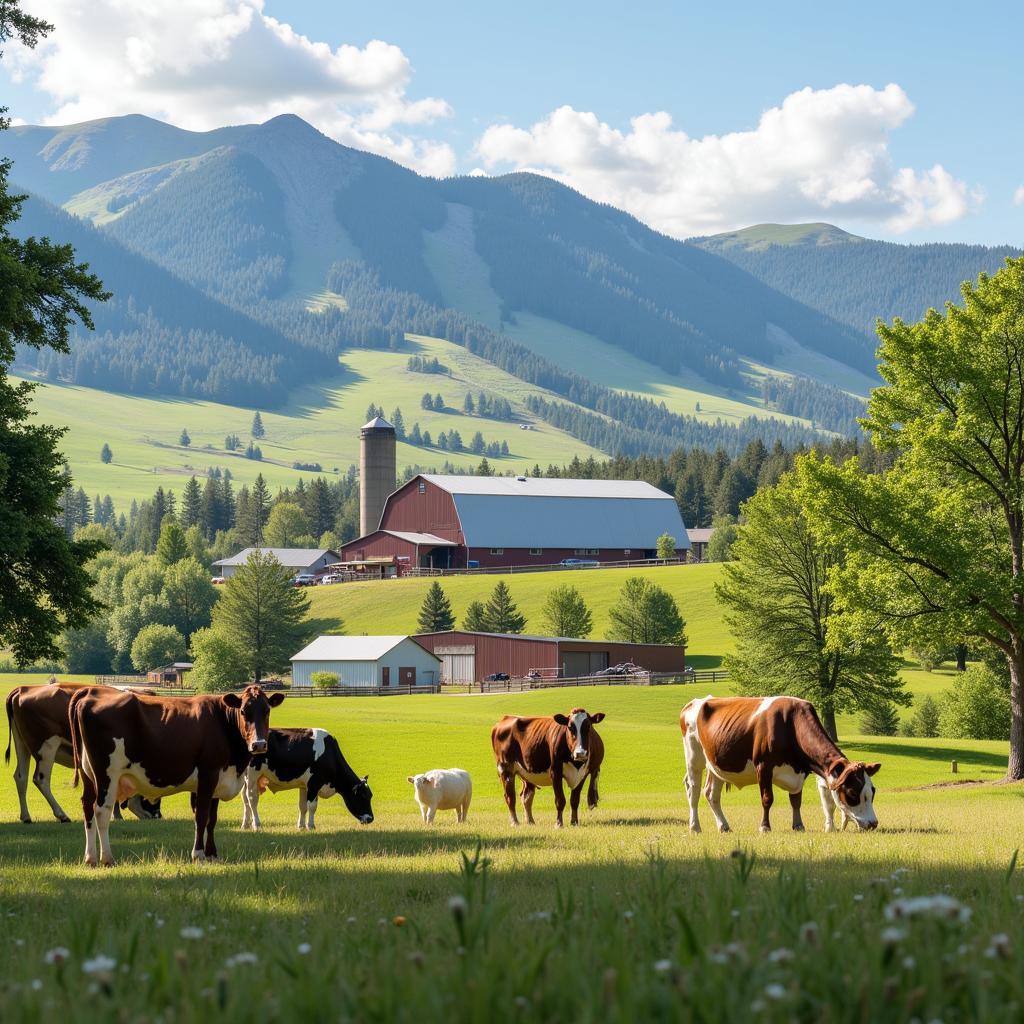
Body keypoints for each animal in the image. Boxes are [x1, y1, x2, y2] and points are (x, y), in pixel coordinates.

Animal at [4, 684, 159, 827]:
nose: (158, 816)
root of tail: (22, 689)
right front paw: (117, 816)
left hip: (22, 744)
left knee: (21, 777)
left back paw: (26, 816)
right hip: (47, 746)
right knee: (41, 779)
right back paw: (62, 815)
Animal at [70, 679, 282, 864]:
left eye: (267, 711)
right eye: (244, 711)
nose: (259, 744)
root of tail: (90, 691)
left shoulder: (218, 779)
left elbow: (212, 819)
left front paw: (212, 854)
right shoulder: (208, 774)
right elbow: (201, 817)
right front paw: (198, 854)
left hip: (88, 774)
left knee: (87, 807)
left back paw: (90, 858)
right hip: (107, 774)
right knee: (101, 811)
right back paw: (107, 858)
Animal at [237, 729, 374, 831]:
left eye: (370, 795)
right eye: (363, 796)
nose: (371, 818)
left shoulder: (305, 785)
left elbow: (302, 806)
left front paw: (301, 826)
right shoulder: (314, 783)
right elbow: (312, 806)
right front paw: (311, 826)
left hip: (245, 779)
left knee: (245, 800)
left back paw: (245, 824)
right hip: (252, 776)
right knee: (252, 800)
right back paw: (256, 824)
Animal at [679, 692, 880, 835]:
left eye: (872, 791)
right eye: (853, 792)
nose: (873, 823)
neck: (790, 725)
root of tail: (696, 702)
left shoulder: (799, 772)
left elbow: (796, 800)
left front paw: (798, 825)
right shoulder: (763, 766)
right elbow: (767, 799)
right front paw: (765, 827)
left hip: (716, 765)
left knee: (711, 794)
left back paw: (724, 826)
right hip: (693, 757)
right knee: (693, 791)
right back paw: (695, 827)